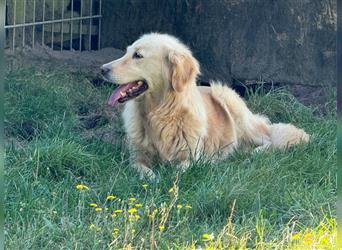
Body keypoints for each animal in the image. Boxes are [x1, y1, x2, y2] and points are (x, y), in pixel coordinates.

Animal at [101, 33, 310, 180]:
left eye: (138, 55)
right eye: (126, 52)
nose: (103, 69)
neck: (158, 112)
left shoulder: (192, 157)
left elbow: (179, 170)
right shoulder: (135, 157)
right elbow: (141, 169)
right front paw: (152, 177)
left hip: (229, 101)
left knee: (268, 140)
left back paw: (252, 153)